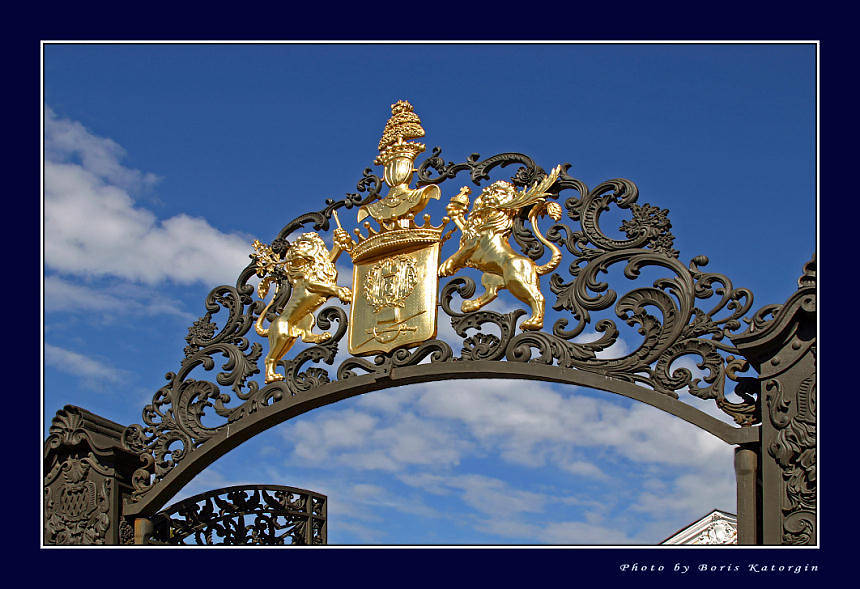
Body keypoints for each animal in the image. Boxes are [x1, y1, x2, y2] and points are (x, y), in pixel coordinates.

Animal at [254, 232, 352, 384]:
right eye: (293, 248)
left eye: (304, 243)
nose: (294, 252)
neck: (312, 263)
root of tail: (270, 327)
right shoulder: (312, 283)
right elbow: (330, 287)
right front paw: (345, 293)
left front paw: (340, 239)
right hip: (282, 336)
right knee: (269, 358)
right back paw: (271, 377)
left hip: (306, 319)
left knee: (306, 337)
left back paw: (321, 337)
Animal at [436, 165, 564, 330]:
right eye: (494, 191)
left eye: (502, 194)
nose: (489, 196)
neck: (489, 219)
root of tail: (534, 266)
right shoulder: (469, 231)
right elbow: (461, 223)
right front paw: (455, 209)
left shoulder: (472, 242)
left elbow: (457, 255)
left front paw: (444, 267)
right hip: (490, 276)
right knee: (491, 293)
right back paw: (470, 305)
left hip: (516, 280)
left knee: (537, 297)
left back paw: (533, 322)